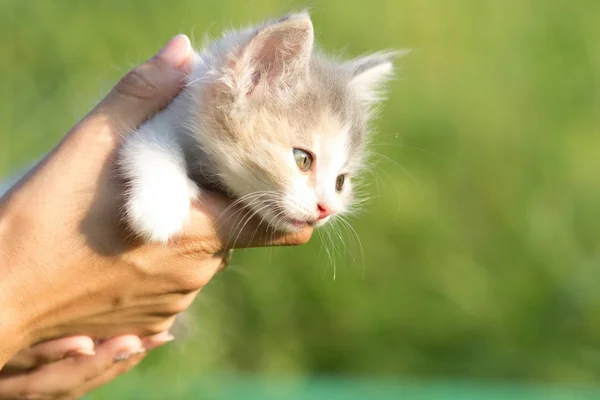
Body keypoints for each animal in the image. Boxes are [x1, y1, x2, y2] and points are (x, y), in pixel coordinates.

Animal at [117, 11, 398, 244]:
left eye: (340, 182)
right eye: (303, 159)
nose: (327, 209)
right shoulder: (166, 115)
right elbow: (151, 142)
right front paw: (159, 209)